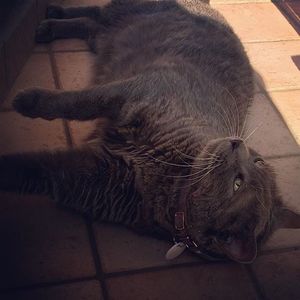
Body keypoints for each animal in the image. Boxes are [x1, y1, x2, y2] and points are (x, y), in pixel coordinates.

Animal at [0, 0, 300, 262]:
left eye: (238, 183)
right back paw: (52, 16)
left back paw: (50, 24)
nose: (238, 143)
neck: (173, 170)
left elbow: (30, 170)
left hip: (109, 37)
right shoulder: (138, 91)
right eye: (258, 161)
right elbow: (78, 102)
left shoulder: (85, 177)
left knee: (94, 25)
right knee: (98, 13)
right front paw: (29, 100)